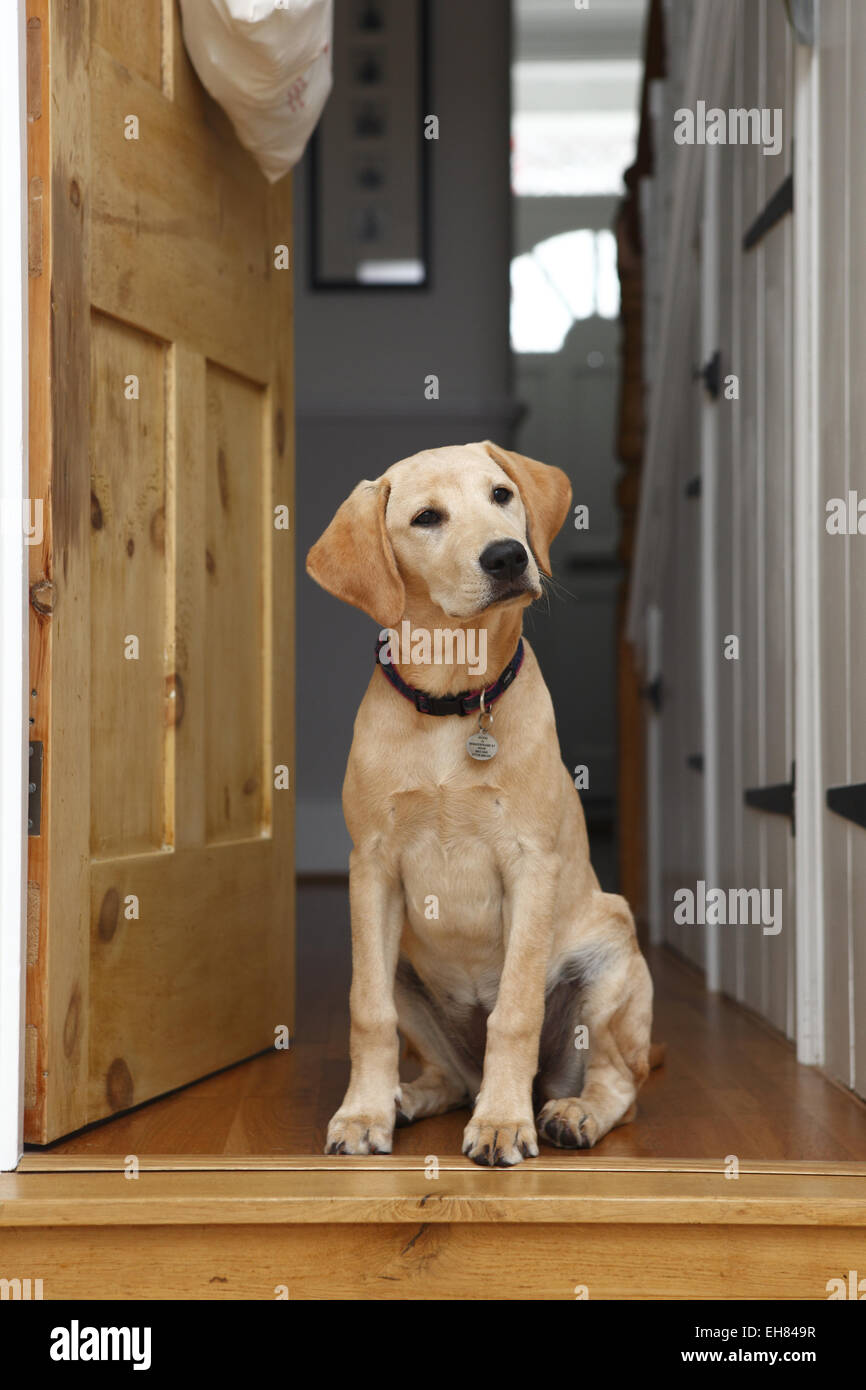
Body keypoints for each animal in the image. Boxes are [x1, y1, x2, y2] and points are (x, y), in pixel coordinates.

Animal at [308, 442, 653, 1162]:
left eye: (502, 495)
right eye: (426, 518)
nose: (507, 556)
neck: (454, 703)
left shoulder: (531, 866)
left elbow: (515, 1012)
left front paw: (501, 1123)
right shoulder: (371, 869)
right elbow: (367, 1012)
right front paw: (362, 1113)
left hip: (611, 962)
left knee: (618, 1083)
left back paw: (572, 1112)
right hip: (407, 971)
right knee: (448, 1075)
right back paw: (406, 1098)